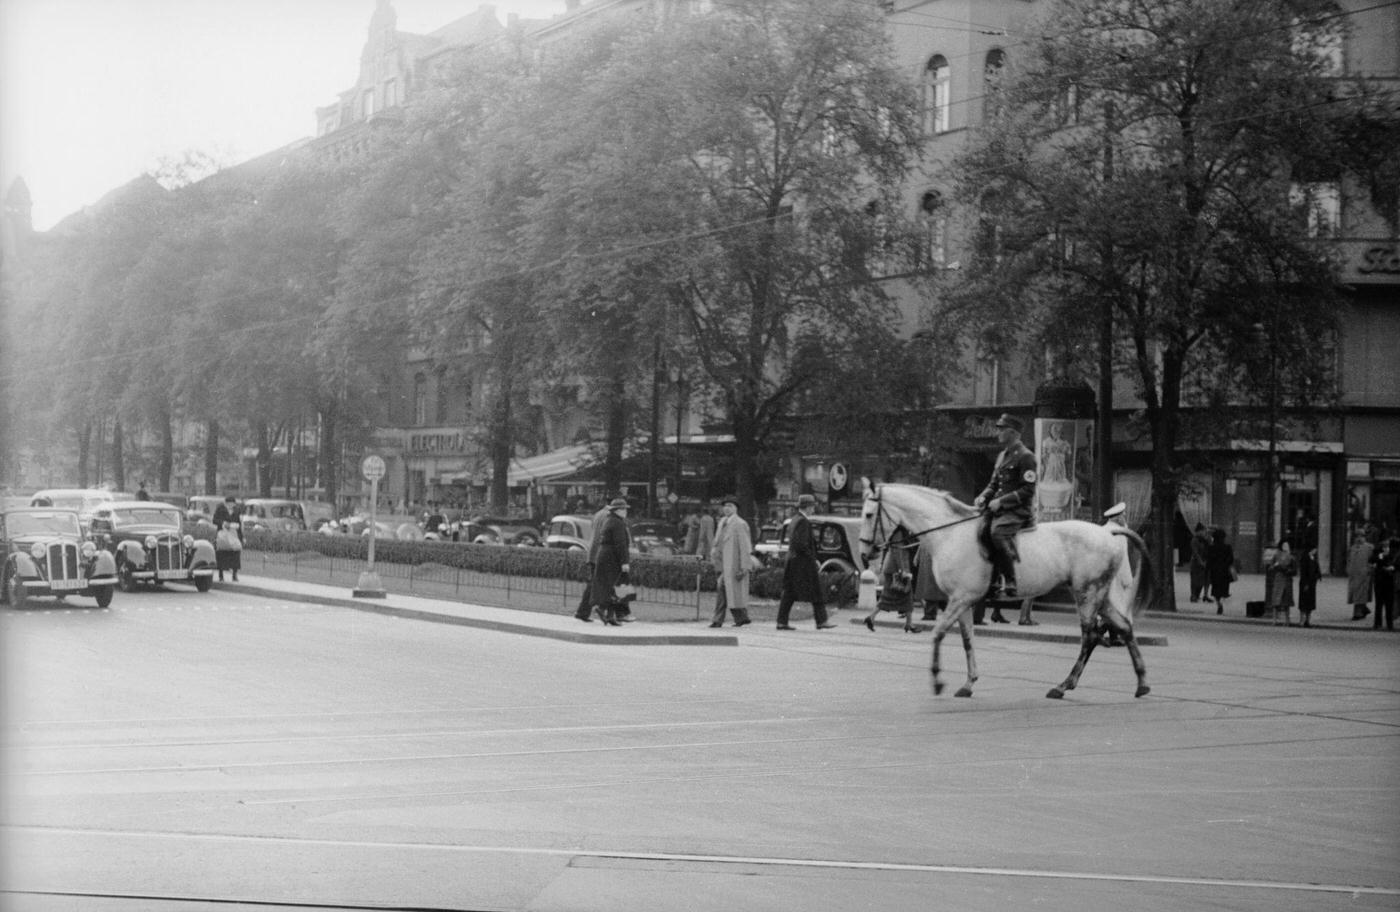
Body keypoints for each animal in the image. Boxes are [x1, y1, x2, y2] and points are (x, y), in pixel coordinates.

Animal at [856, 484, 1153, 700]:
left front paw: (938, 679)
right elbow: (967, 640)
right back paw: (1141, 683)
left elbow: (938, 633)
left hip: (1087, 594)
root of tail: (1109, 532)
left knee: (1090, 636)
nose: (864, 554)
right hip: (1100, 595)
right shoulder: (962, 601)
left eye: (869, 514)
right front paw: (969, 683)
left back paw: (1064, 685)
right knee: (1123, 627)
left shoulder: (961, 598)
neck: (950, 534)